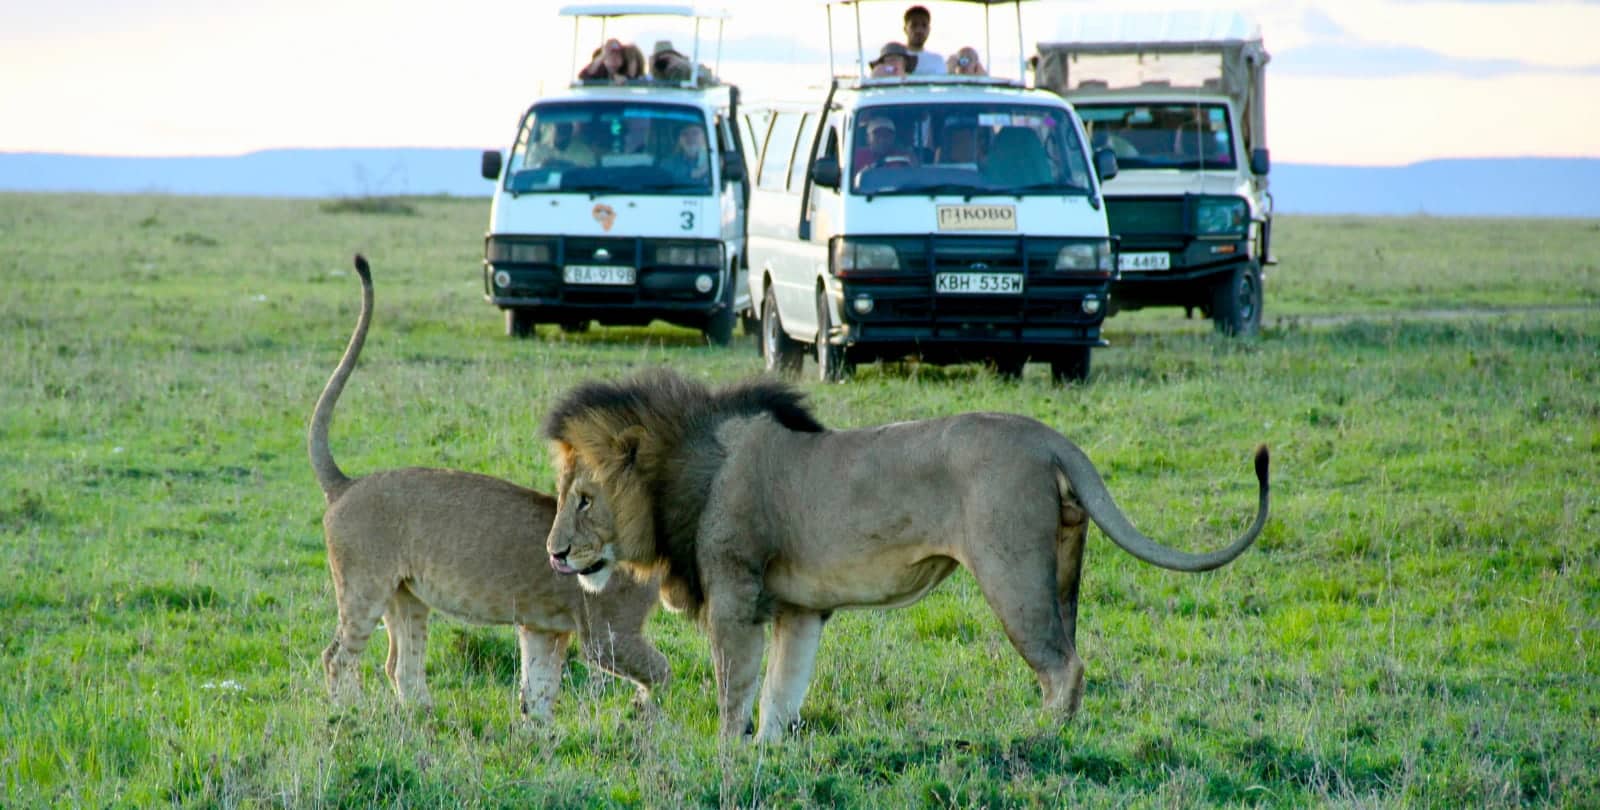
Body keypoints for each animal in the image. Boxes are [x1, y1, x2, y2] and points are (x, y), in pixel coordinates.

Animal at [308, 256, 665, 717]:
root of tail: (346, 484)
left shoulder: (542, 627)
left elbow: (539, 691)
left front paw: (538, 733)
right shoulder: (607, 635)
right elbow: (662, 672)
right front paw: (650, 715)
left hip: (407, 596)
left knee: (400, 665)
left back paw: (424, 718)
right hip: (363, 587)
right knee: (338, 656)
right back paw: (349, 717)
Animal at [544, 366, 1267, 739]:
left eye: (583, 499)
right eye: (564, 496)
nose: (555, 555)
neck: (683, 472)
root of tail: (1049, 437)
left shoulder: (736, 596)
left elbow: (735, 694)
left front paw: (727, 758)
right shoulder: (799, 610)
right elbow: (782, 694)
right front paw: (769, 757)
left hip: (1010, 571)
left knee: (1064, 668)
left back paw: (1041, 741)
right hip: (1064, 568)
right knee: (1068, 653)